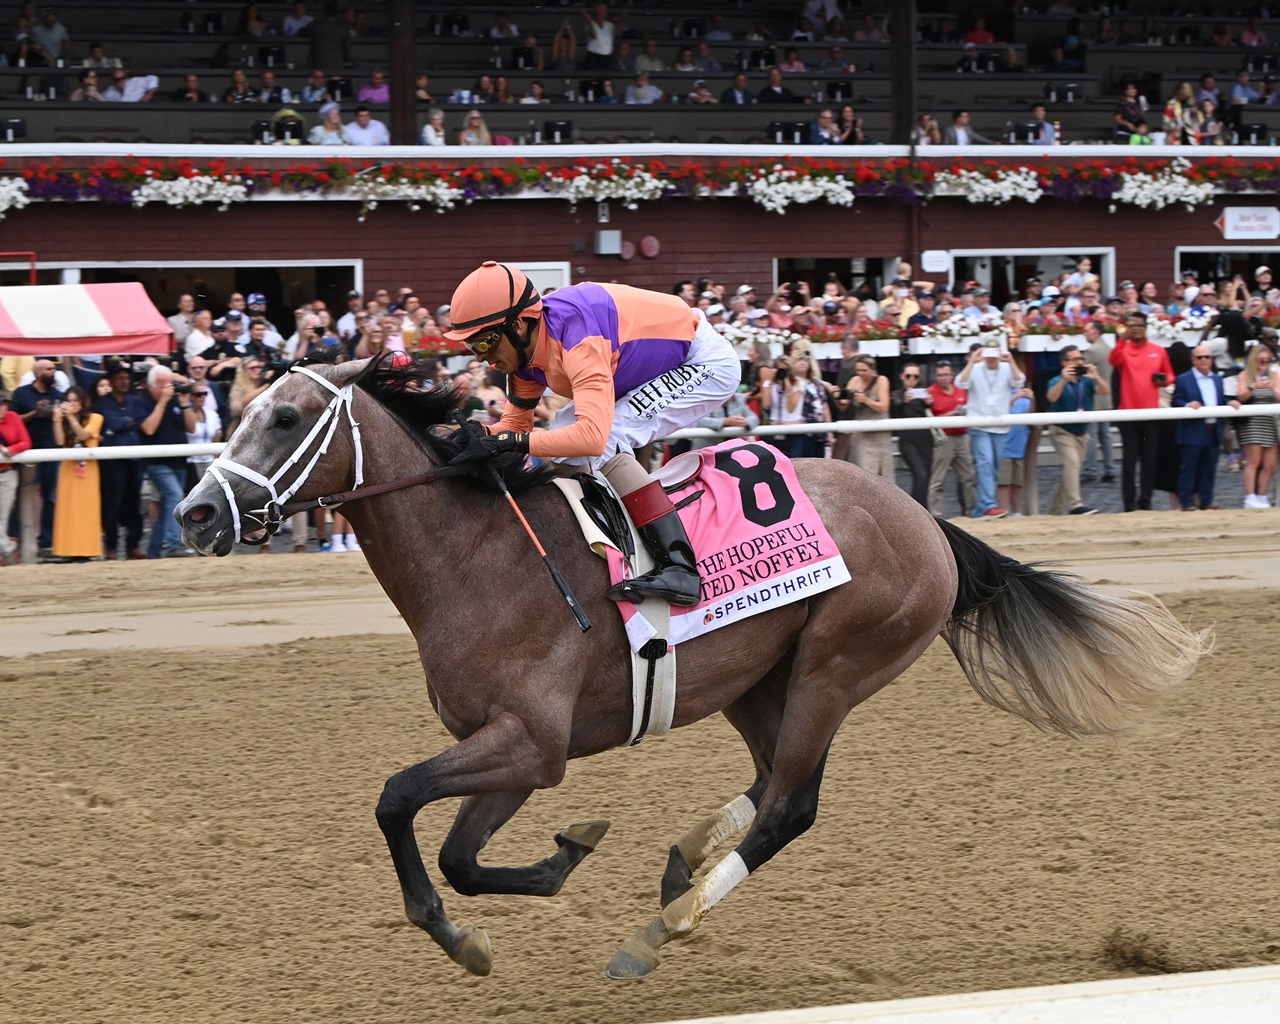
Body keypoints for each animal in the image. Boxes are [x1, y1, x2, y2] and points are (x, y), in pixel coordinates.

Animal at [175, 356, 1209, 980]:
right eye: (242, 410)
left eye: (288, 418)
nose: (193, 513)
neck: (478, 557)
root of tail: (924, 519)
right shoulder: (513, 751)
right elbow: (464, 856)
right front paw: (562, 857)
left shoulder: (532, 744)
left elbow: (397, 802)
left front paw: (462, 934)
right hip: (757, 681)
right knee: (773, 780)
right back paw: (684, 863)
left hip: (839, 663)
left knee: (792, 804)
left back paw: (660, 929)